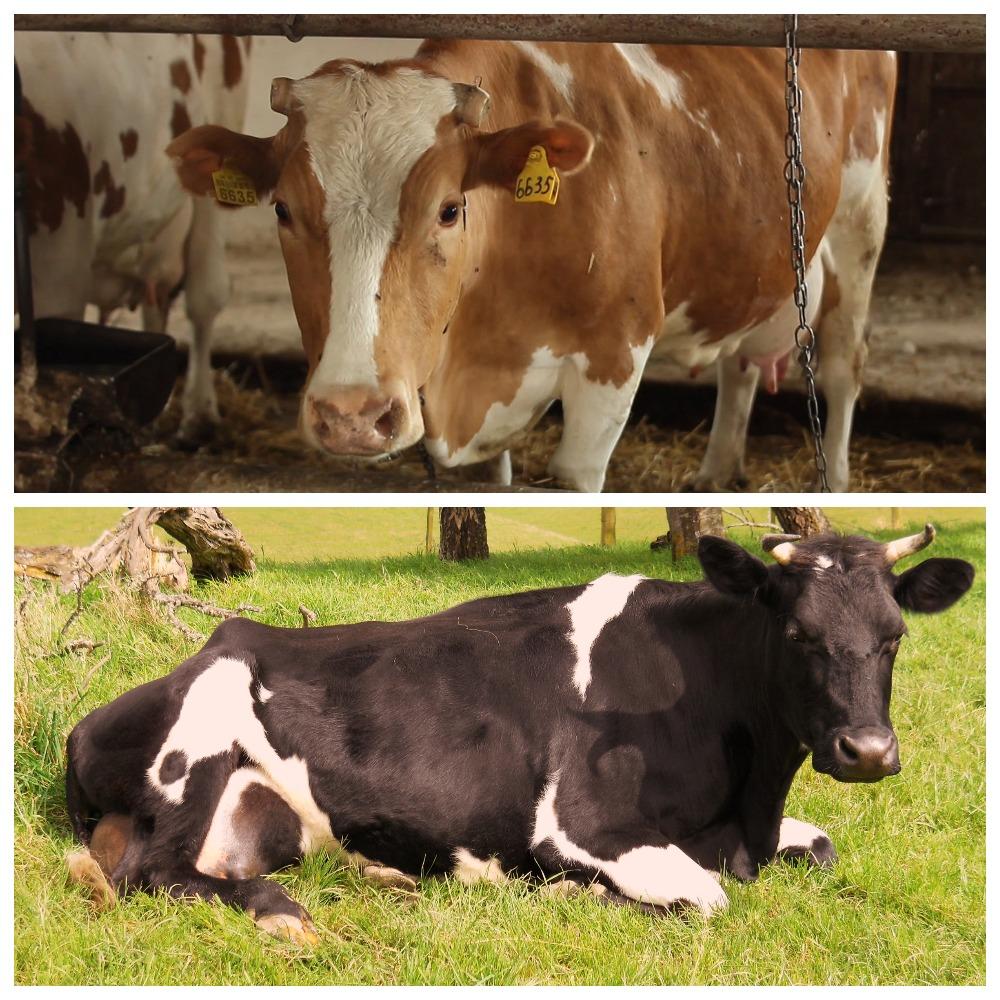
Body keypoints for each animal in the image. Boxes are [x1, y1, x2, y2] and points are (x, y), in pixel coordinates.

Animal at [64, 525, 972, 943]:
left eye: (895, 634)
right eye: (797, 633)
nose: (868, 752)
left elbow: (821, 848)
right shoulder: (580, 821)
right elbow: (705, 897)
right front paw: (573, 891)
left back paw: (383, 878)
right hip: (203, 731)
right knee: (155, 873)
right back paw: (281, 910)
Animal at [167, 41, 896, 491]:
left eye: (449, 209)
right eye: (283, 209)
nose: (351, 414)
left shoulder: (615, 355)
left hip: (861, 217)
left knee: (845, 361)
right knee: (739, 360)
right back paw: (716, 470)